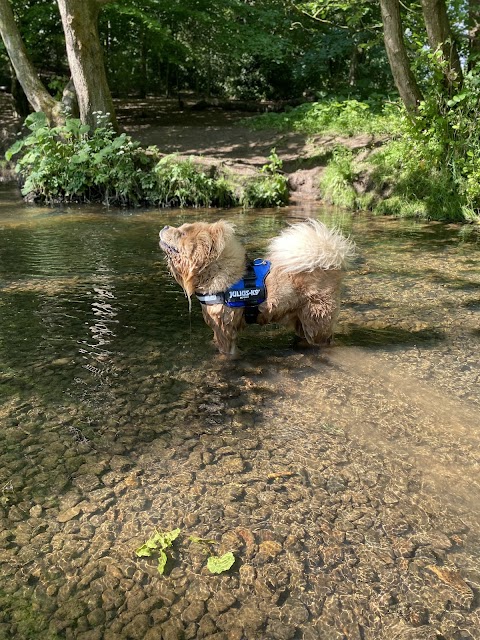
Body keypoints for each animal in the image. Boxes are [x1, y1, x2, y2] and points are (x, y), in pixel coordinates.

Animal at [159, 220, 354, 356]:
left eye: (182, 233)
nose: (165, 226)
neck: (215, 270)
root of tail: (332, 261)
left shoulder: (225, 328)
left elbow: (226, 351)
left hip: (316, 320)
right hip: (301, 319)